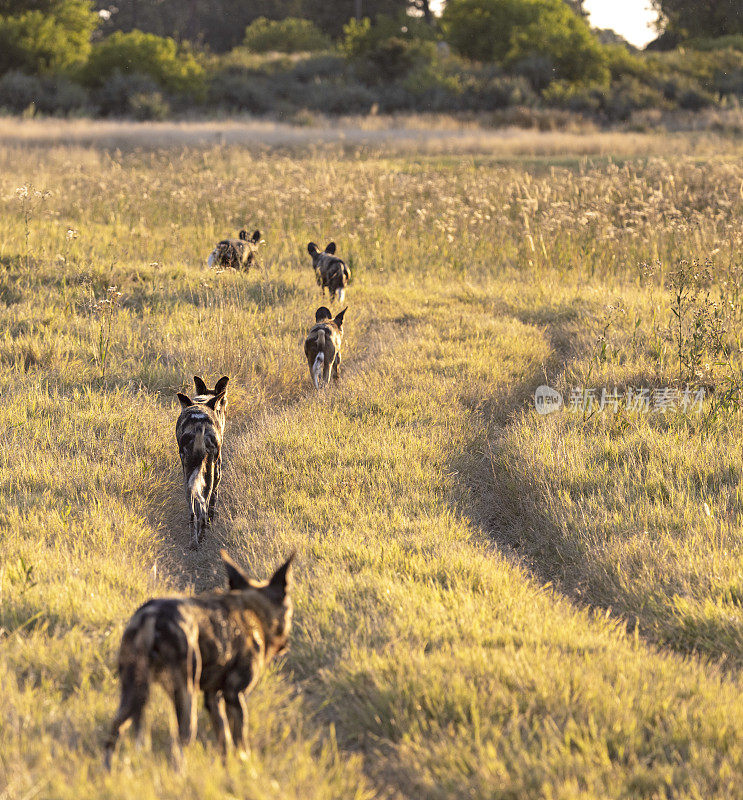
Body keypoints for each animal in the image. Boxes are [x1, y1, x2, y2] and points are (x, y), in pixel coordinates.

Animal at [103, 548, 294, 764]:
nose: (286, 644)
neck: (254, 613)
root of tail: (151, 616)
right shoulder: (234, 695)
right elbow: (240, 743)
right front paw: (246, 766)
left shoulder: (212, 697)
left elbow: (224, 741)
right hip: (186, 694)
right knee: (178, 744)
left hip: (133, 693)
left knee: (114, 733)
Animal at [175, 382, 227, 552]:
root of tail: (199, 422)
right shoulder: (216, 473)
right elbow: (211, 506)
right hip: (207, 472)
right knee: (203, 512)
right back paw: (201, 540)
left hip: (188, 474)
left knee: (193, 512)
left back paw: (194, 543)